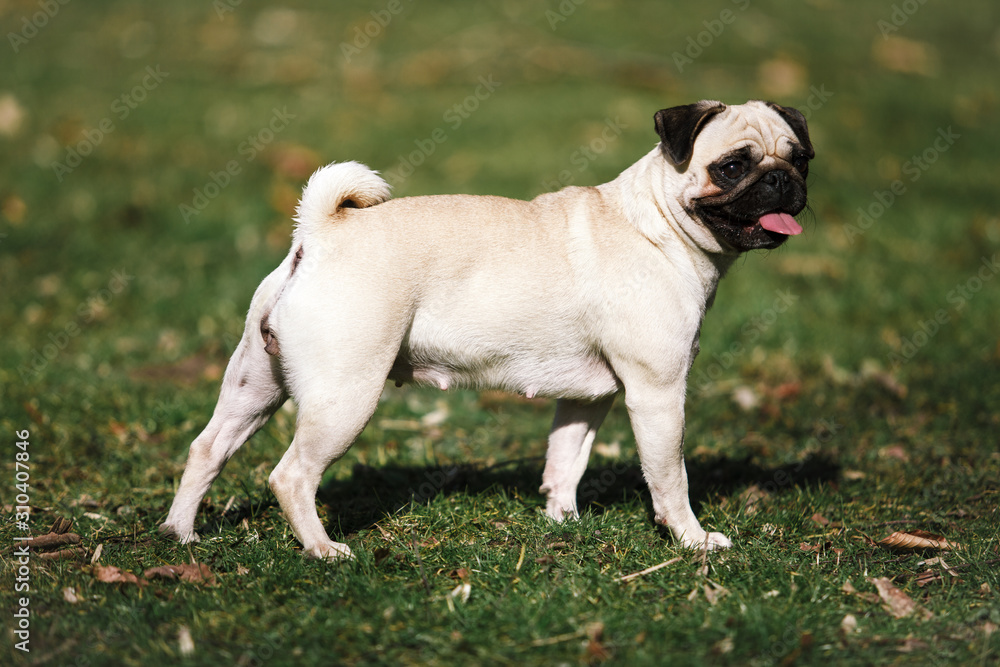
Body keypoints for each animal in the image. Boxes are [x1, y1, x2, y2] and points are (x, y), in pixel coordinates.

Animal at [158, 100, 812, 560]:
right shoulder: (658, 393)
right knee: (291, 475)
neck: (656, 224)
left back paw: (181, 535)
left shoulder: (588, 399)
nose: (783, 180)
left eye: (800, 158)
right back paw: (322, 549)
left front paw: (562, 523)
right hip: (345, 394)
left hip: (255, 383)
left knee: (207, 449)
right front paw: (692, 541)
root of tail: (319, 233)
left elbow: (564, 462)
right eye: (733, 166)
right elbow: (670, 478)